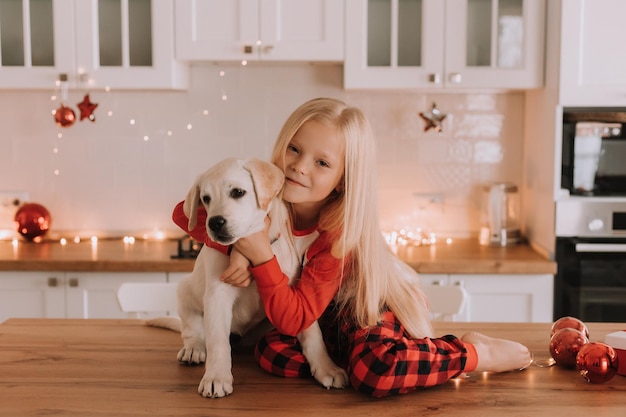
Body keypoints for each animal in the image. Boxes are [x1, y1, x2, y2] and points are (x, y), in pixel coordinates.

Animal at [151, 158, 346, 398]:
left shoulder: (295, 296)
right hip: (184, 291)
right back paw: (193, 349)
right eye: (206, 199)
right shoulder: (217, 296)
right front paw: (216, 377)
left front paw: (328, 368)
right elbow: (217, 341)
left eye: (237, 192)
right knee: (192, 329)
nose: (214, 223)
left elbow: (313, 335)